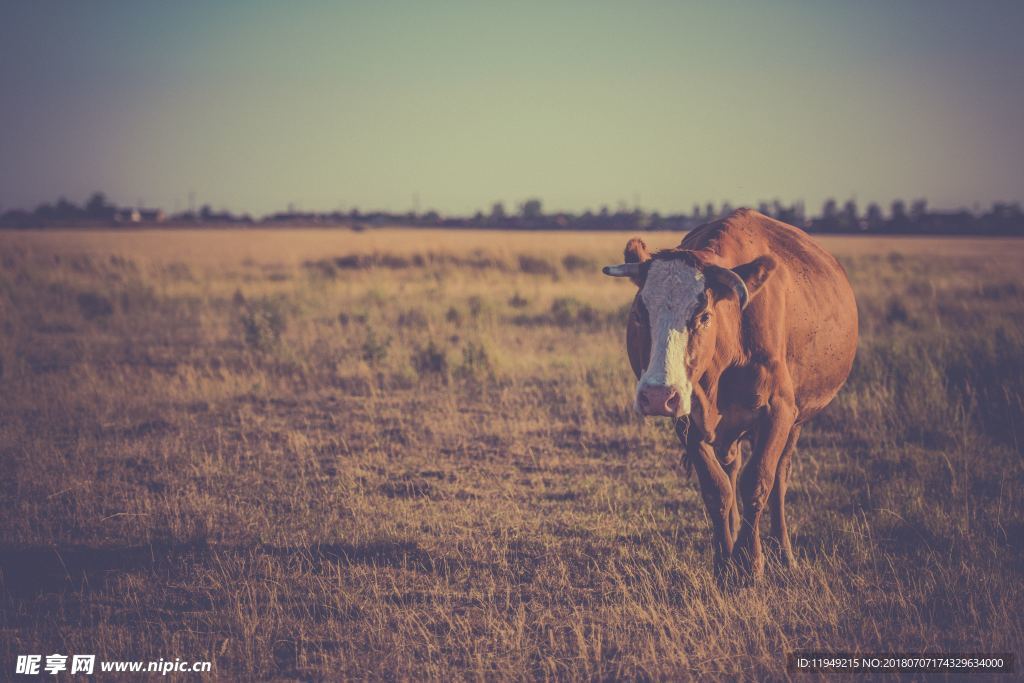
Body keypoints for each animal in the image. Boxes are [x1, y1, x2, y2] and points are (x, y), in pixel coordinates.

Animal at [598, 206, 856, 577]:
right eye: (639, 313)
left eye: (704, 316)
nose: (658, 395)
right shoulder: (687, 419)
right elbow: (717, 489)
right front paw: (725, 561)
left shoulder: (779, 412)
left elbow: (758, 482)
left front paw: (750, 563)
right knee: (732, 470)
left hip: (797, 421)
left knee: (780, 477)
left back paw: (784, 553)